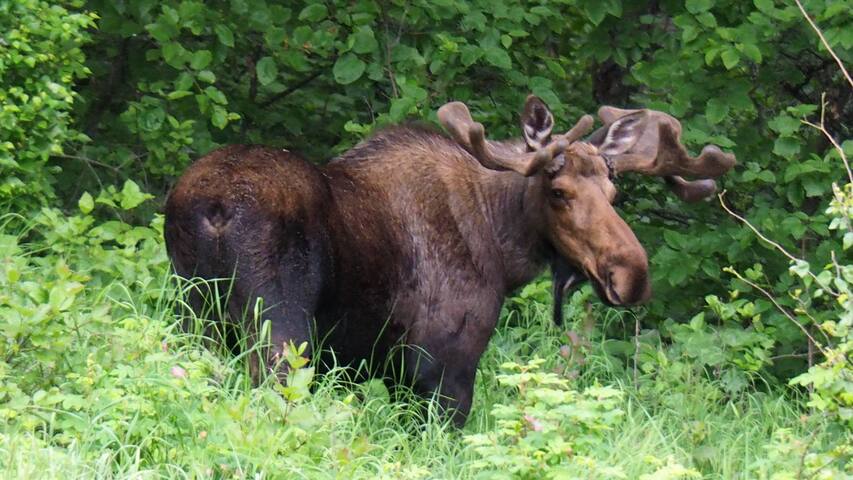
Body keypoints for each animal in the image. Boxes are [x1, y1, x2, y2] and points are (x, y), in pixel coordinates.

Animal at [165, 95, 732, 426]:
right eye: (558, 191)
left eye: (614, 192)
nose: (631, 275)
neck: (502, 247)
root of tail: (211, 208)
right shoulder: (445, 364)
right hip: (280, 329)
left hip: (197, 317)